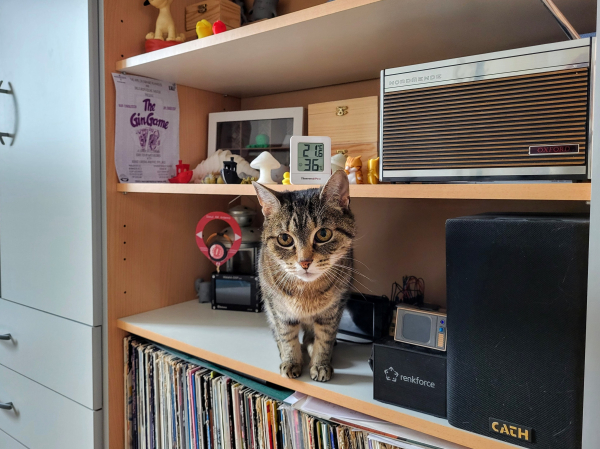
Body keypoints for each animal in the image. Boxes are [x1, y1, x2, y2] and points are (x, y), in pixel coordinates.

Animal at [253, 170, 356, 380]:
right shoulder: (279, 310)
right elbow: (287, 337)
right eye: (284, 239)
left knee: (312, 336)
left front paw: (320, 364)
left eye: (323, 234)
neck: (306, 293)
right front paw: (291, 361)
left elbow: (325, 339)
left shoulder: (333, 311)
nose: (304, 262)